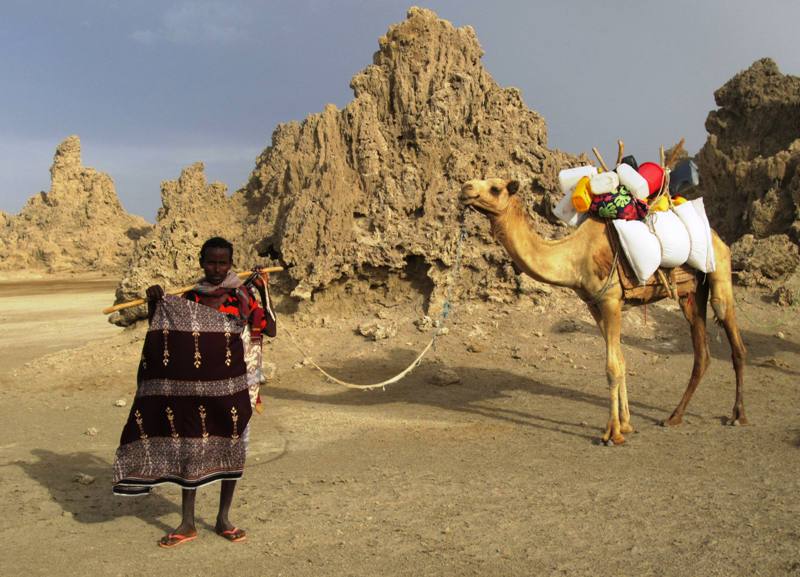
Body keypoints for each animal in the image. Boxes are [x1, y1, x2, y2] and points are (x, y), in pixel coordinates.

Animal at [460, 178, 748, 444]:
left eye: (495, 188)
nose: (465, 188)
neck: (574, 257)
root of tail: (717, 236)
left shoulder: (611, 299)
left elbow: (611, 367)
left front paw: (613, 434)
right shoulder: (593, 304)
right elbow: (620, 360)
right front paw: (625, 425)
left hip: (719, 270)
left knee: (735, 341)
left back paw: (738, 415)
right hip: (691, 294)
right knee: (702, 353)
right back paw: (674, 416)